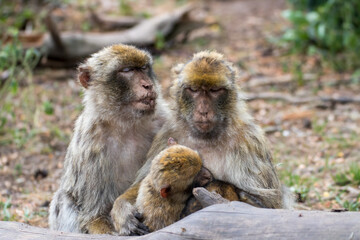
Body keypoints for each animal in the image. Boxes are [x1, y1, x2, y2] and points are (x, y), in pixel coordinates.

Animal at [47, 44, 169, 233]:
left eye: (143, 68)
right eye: (127, 70)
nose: (147, 85)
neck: (126, 124)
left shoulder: (165, 121)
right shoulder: (90, 144)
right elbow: (93, 217)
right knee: (64, 200)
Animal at [111, 50, 294, 234]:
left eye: (214, 90)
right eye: (194, 90)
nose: (203, 111)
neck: (207, 136)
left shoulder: (250, 142)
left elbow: (268, 207)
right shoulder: (167, 133)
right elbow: (148, 181)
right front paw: (123, 211)